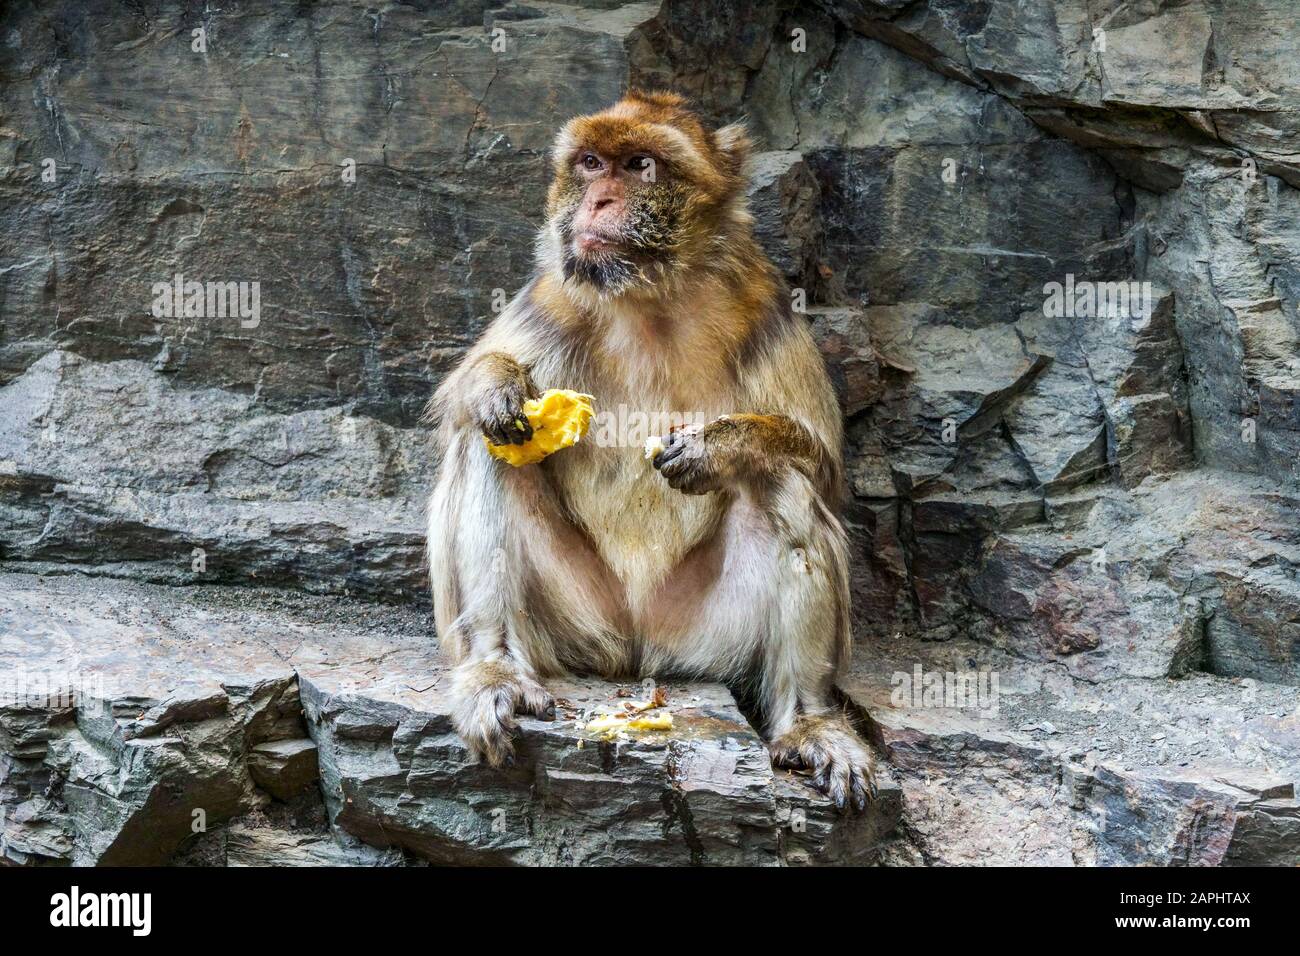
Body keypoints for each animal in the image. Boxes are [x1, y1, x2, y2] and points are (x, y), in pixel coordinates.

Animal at [425, 90, 877, 811]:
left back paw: (810, 720)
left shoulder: (764, 302)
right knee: (487, 445)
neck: (649, 296)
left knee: (783, 484)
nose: (598, 201)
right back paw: (495, 668)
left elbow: (823, 467)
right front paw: (499, 386)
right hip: (580, 622)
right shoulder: (553, 295)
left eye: (639, 165)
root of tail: (637, 656)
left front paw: (720, 447)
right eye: (589, 163)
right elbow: (461, 409)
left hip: (701, 634)